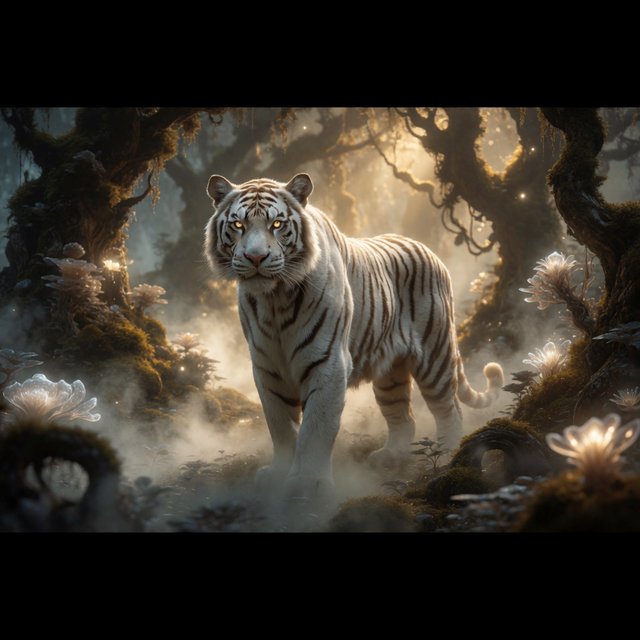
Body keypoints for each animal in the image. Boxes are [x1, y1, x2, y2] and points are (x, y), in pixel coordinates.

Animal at [204, 173, 503, 500]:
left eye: (277, 224)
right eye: (238, 225)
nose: (255, 257)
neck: (274, 300)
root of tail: (428, 250)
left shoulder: (328, 364)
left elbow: (315, 429)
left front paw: (308, 483)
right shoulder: (267, 369)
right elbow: (280, 427)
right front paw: (279, 474)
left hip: (434, 356)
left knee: (450, 411)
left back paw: (448, 456)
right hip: (390, 375)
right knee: (404, 417)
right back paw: (389, 457)